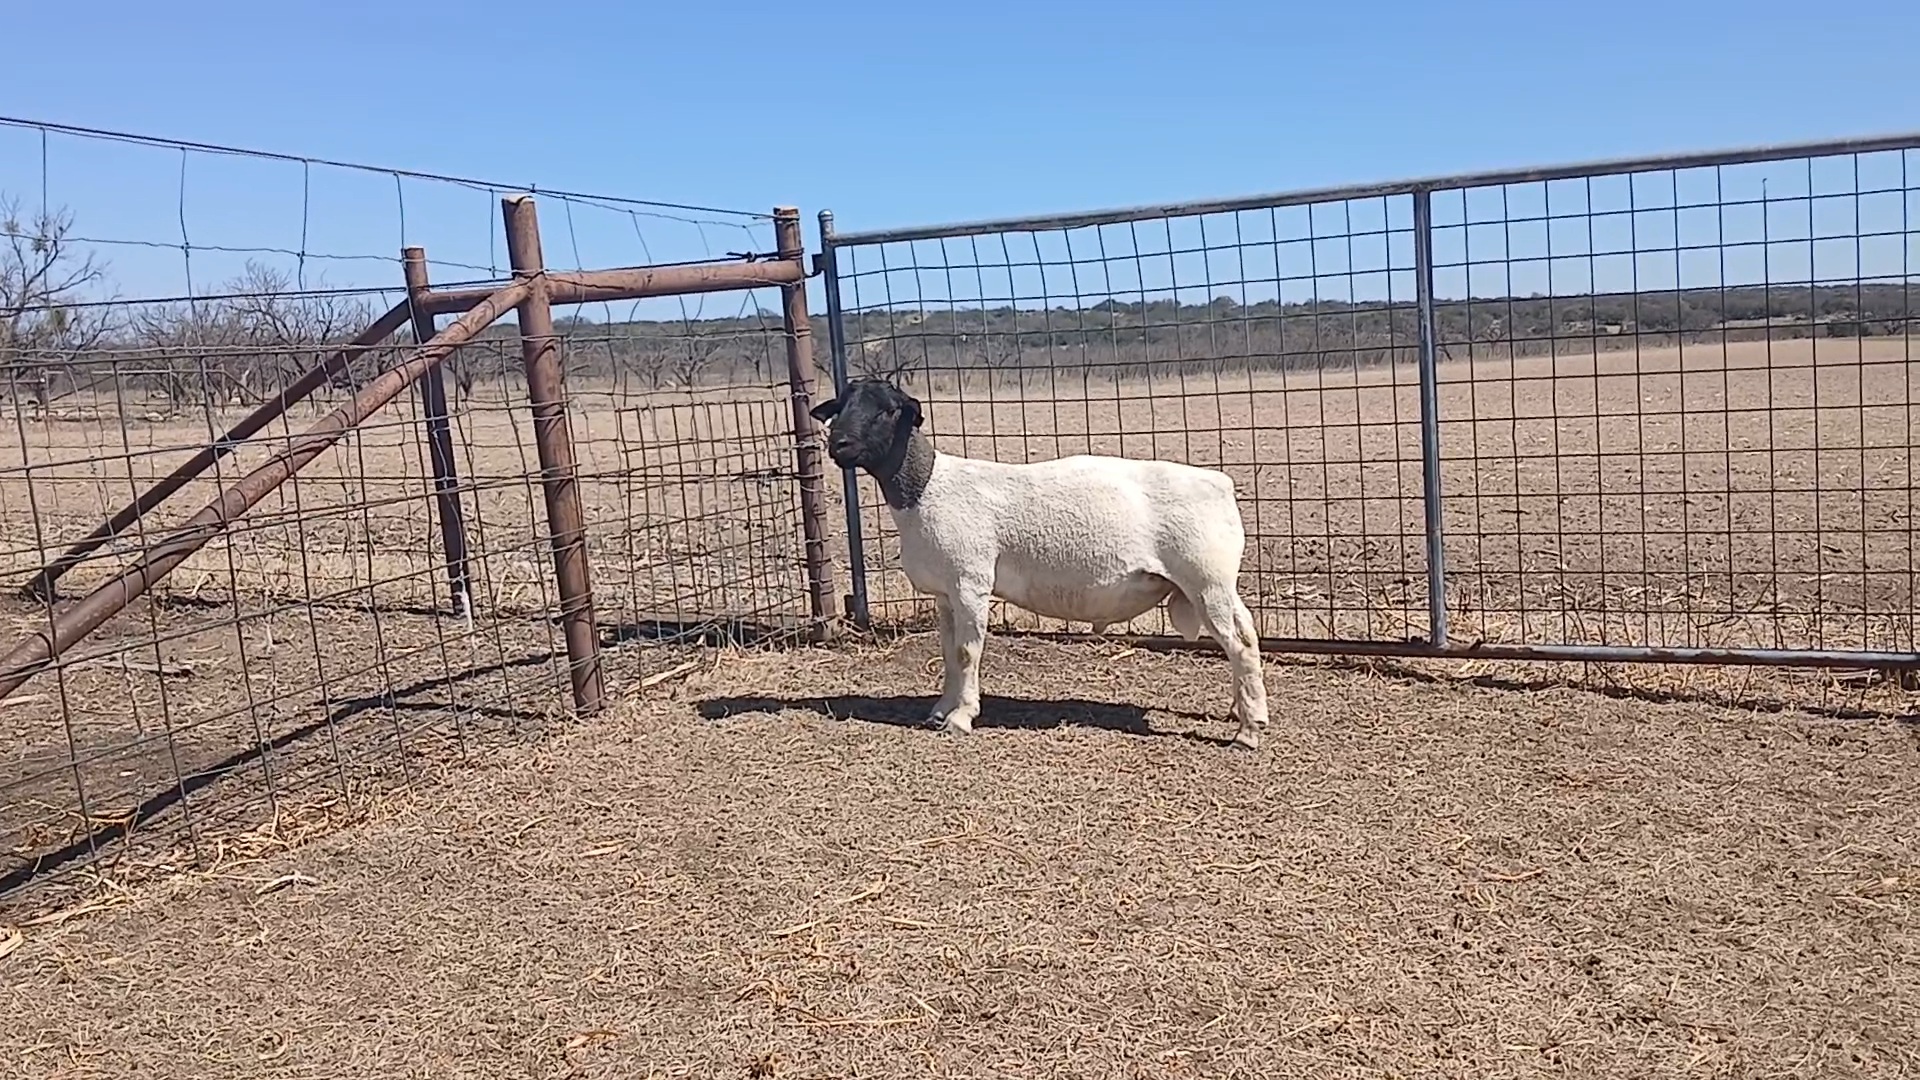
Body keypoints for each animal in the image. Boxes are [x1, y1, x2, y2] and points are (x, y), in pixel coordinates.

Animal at [810, 377, 1268, 750]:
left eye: (888, 409)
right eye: (840, 406)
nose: (839, 446)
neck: (926, 488)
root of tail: (1221, 484)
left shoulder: (970, 582)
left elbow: (966, 652)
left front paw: (961, 717)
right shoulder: (945, 592)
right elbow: (947, 651)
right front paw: (941, 709)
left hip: (1206, 578)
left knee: (1240, 643)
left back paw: (1248, 730)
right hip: (1213, 583)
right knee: (1243, 636)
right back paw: (1241, 708)